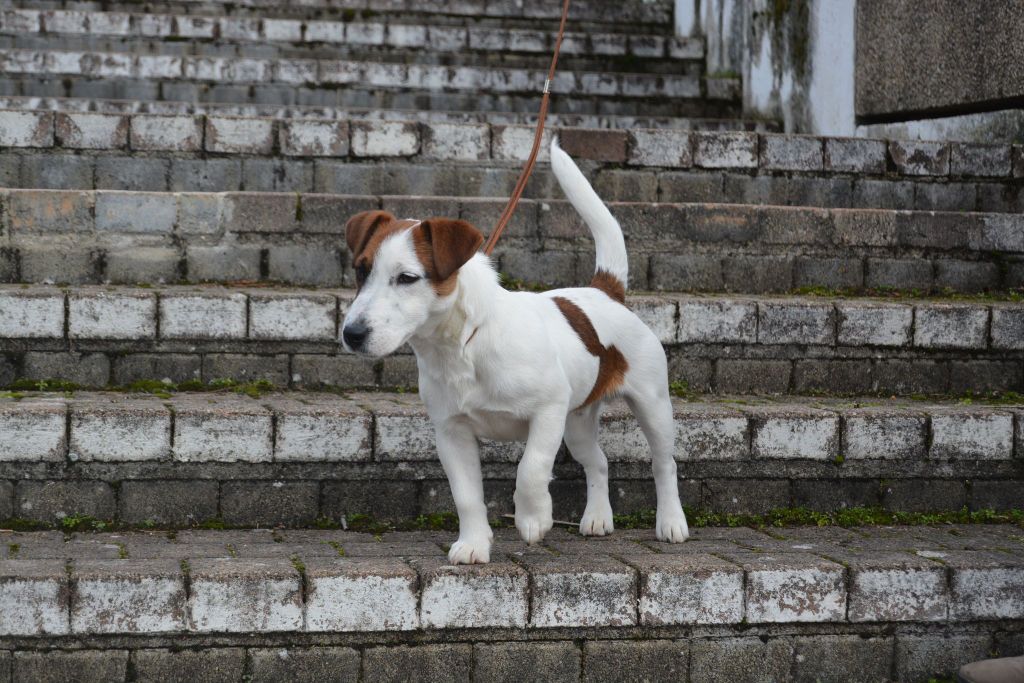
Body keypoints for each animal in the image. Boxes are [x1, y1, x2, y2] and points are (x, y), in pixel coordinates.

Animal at [341, 139, 689, 564]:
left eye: (407, 278)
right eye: (361, 270)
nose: (352, 334)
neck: (463, 344)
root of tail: (606, 292)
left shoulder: (548, 410)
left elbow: (531, 469)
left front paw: (533, 520)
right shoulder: (451, 431)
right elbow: (466, 496)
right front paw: (473, 544)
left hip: (651, 404)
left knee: (664, 463)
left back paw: (671, 522)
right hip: (576, 423)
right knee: (599, 462)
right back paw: (597, 518)